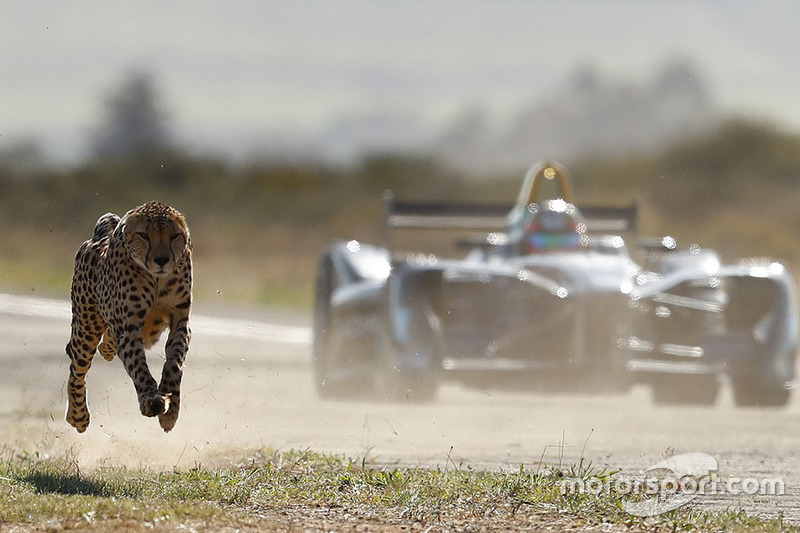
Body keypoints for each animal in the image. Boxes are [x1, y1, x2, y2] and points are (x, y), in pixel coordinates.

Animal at [66, 201, 193, 432]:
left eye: (174, 236)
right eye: (144, 235)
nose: (162, 260)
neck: (156, 279)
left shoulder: (180, 323)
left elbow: (175, 362)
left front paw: (171, 407)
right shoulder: (128, 327)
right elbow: (137, 363)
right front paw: (151, 398)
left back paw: (106, 349)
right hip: (86, 328)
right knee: (76, 369)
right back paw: (77, 416)